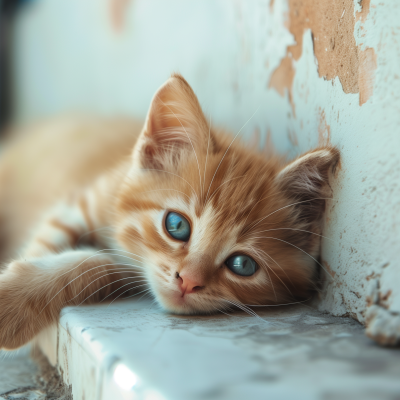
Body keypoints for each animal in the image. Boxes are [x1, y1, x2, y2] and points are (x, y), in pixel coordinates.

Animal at [0, 75, 340, 350]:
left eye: (242, 265)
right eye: (176, 225)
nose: (188, 282)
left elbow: (96, 264)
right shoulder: (83, 202)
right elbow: (47, 241)